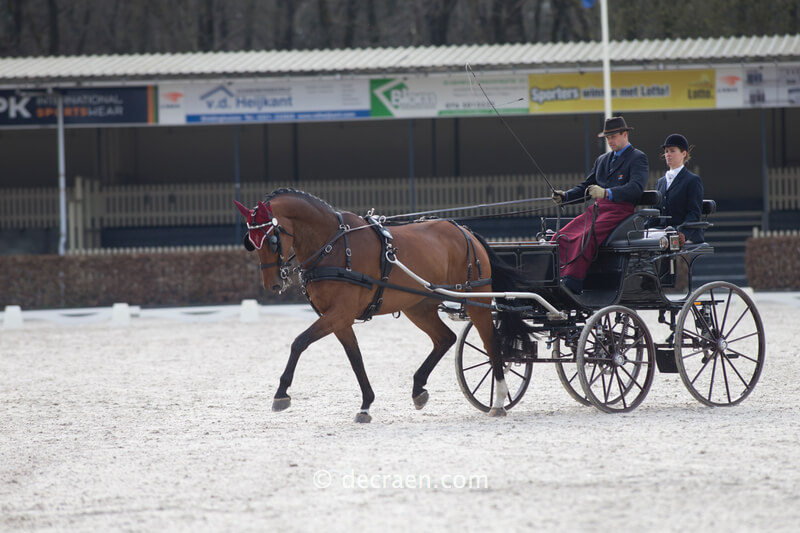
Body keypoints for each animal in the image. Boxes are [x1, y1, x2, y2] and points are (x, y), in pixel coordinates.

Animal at [234, 188, 531, 422]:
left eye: (273, 240)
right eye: (251, 242)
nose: (273, 285)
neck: (333, 246)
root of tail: (464, 230)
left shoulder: (339, 313)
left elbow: (299, 342)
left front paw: (281, 393)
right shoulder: (339, 318)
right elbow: (355, 358)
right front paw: (366, 404)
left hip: (477, 300)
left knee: (491, 343)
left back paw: (498, 400)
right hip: (419, 307)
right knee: (445, 338)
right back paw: (418, 389)